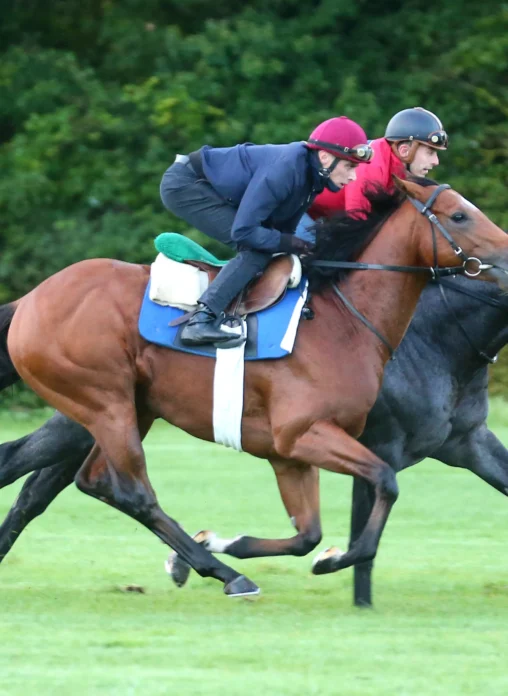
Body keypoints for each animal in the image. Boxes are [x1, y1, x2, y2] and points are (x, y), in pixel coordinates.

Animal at [0, 179, 508, 600]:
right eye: (459, 215)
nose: (505, 255)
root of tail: (31, 299)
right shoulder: (311, 435)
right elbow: (383, 488)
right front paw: (336, 565)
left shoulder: (293, 453)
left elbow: (308, 535)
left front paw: (229, 542)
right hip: (103, 405)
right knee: (125, 491)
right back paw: (225, 574)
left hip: (124, 411)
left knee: (71, 479)